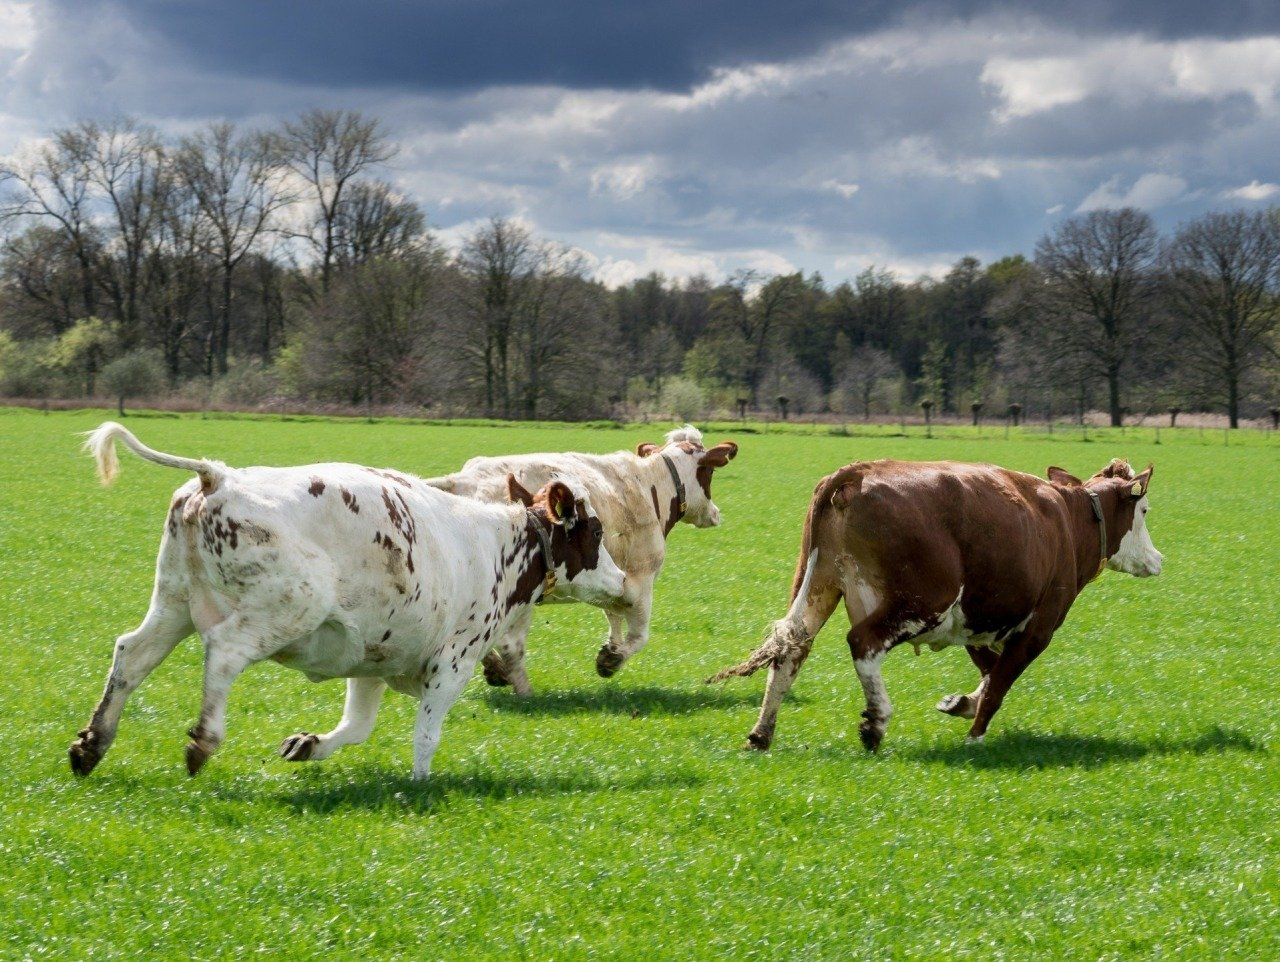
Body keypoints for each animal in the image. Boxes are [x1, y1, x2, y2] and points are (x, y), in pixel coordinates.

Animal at [67, 422, 625, 781]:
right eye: (595, 532)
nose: (621, 578)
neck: (497, 547)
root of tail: (220, 476)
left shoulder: (374, 656)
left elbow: (357, 726)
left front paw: (309, 745)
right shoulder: (453, 662)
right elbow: (426, 735)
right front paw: (421, 785)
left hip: (175, 603)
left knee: (131, 654)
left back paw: (92, 745)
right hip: (289, 606)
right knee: (224, 653)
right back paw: (202, 740)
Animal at [425, 426, 737, 693]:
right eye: (709, 472)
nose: (716, 514)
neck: (651, 487)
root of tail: (463, 479)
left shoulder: (616, 580)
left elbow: (614, 617)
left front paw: (611, 649)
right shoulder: (641, 580)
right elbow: (640, 636)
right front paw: (611, 661)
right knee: (509, 645)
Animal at [709, 458, 1162, 752]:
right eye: (1143, 509)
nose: (1158, 559)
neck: (1068, 521)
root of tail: (859, 471)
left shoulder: (977, 620)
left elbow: (988, 672)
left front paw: (960, 704)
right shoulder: (1037, 629)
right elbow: (999, 684)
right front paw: (975, 736)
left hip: (819, 583)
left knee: (791, 648)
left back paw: (762, 734)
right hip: (921, 602)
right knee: (862, 642)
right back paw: (876, 722)